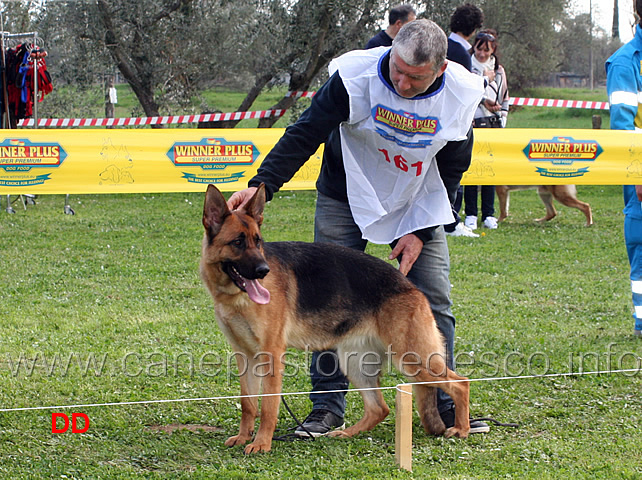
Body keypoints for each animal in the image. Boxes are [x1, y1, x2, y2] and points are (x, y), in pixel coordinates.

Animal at [200, 184, 470, 454]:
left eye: (258, 242)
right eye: (237, 242)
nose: (263, 271)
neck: (235, 297)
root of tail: (411, 287)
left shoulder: (271, 354)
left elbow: (268, 406)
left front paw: (261, 443)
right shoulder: (245, 356)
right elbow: (248, 403)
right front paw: (243, 436)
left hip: (412, 360)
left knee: (461, 383)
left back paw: (461, 428)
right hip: (355, 362)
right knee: (379, 408)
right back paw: (346, 433)